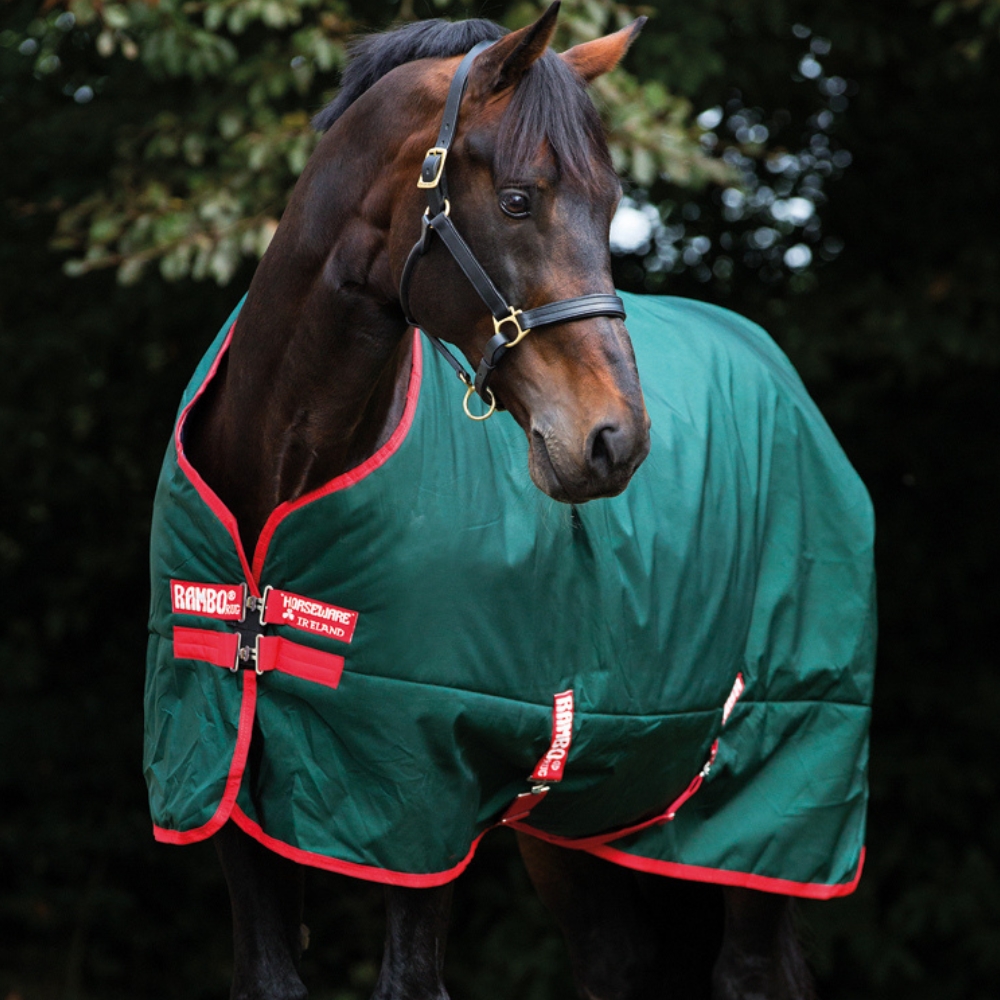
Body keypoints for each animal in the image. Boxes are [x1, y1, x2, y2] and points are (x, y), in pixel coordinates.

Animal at [145, 6, 874, 998]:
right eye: (521, 200)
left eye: (610, 206)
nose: (614, 440)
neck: (282, 474)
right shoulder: (223, 777)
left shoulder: (418, 805)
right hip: (587, 820)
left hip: (770, 807)